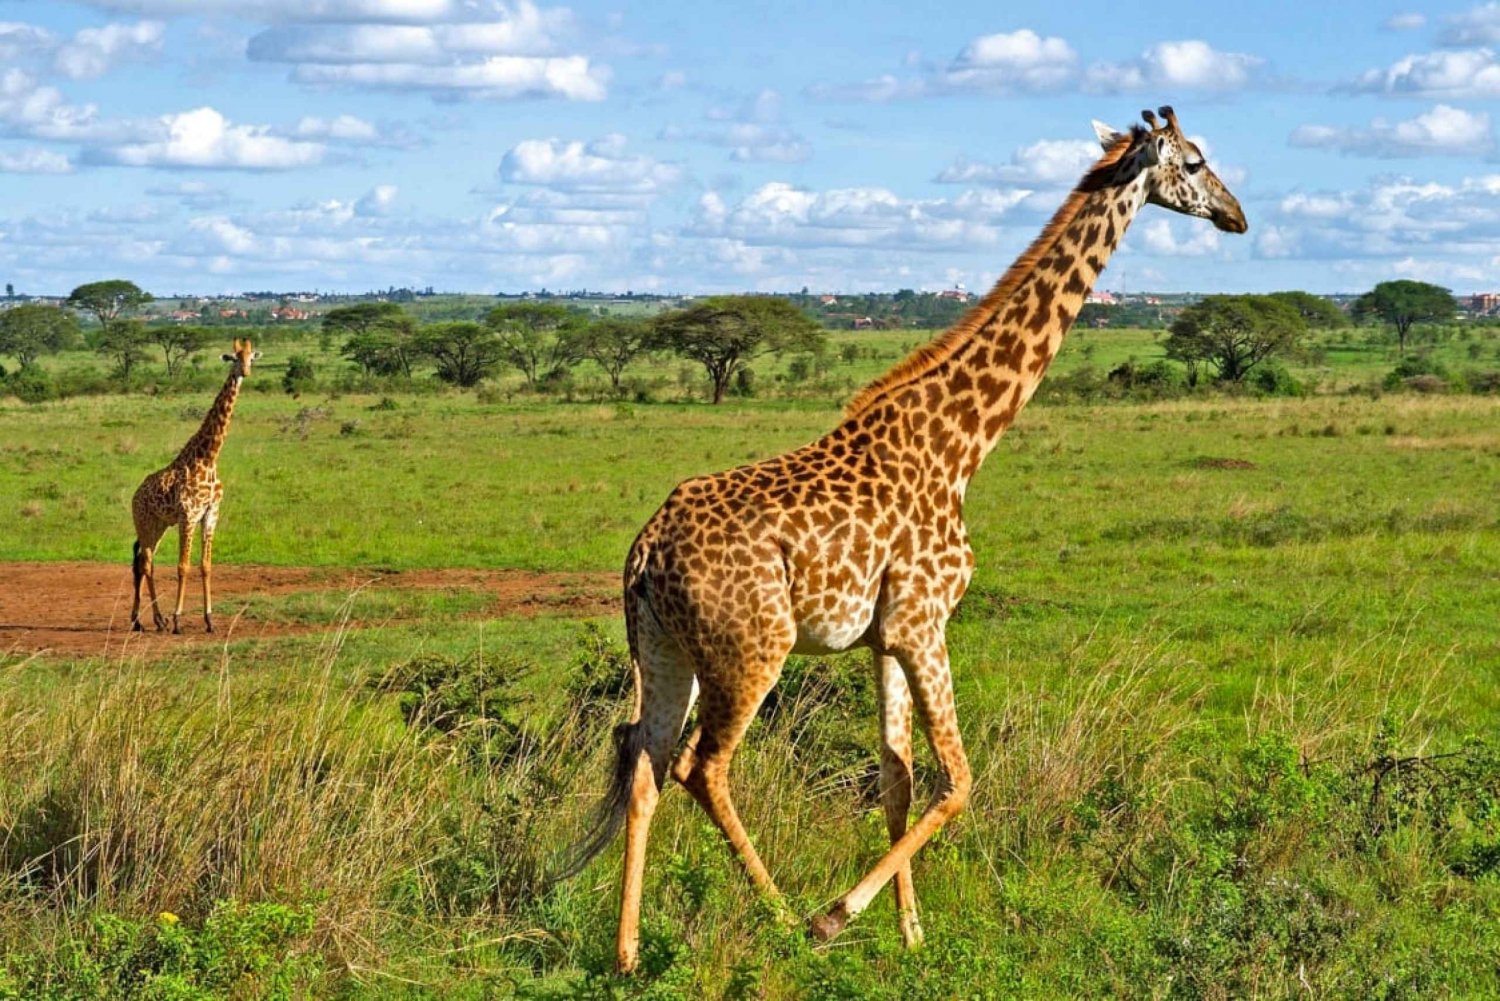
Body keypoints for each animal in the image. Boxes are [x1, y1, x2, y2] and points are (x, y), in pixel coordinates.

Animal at [130, 336, 259, 633]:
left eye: (251, 358)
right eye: (234, 358)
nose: (245, 372)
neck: (208, 459)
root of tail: (135, 495)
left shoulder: (210, 514)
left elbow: (205, 565)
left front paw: (209, 620)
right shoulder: (188, 514)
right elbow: (183, 566)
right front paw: (178, 620)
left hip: (159, 525)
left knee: (144, 562)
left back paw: (146, 620)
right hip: (144, 522)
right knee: (145, 563)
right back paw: (152, 620)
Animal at [567, 108, 1248, 972]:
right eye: (1193, 162)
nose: (1237, 215)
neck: (963, 442)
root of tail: (646, 551)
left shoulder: (887, 635)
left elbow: (898, 777)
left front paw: (911, 933)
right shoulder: (926, 620)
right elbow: (958, 780)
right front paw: (839, 916)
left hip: (664, 651)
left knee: (645, 762)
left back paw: (625, 951)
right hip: (752, 647)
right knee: (701, 765)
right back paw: (784, 917)